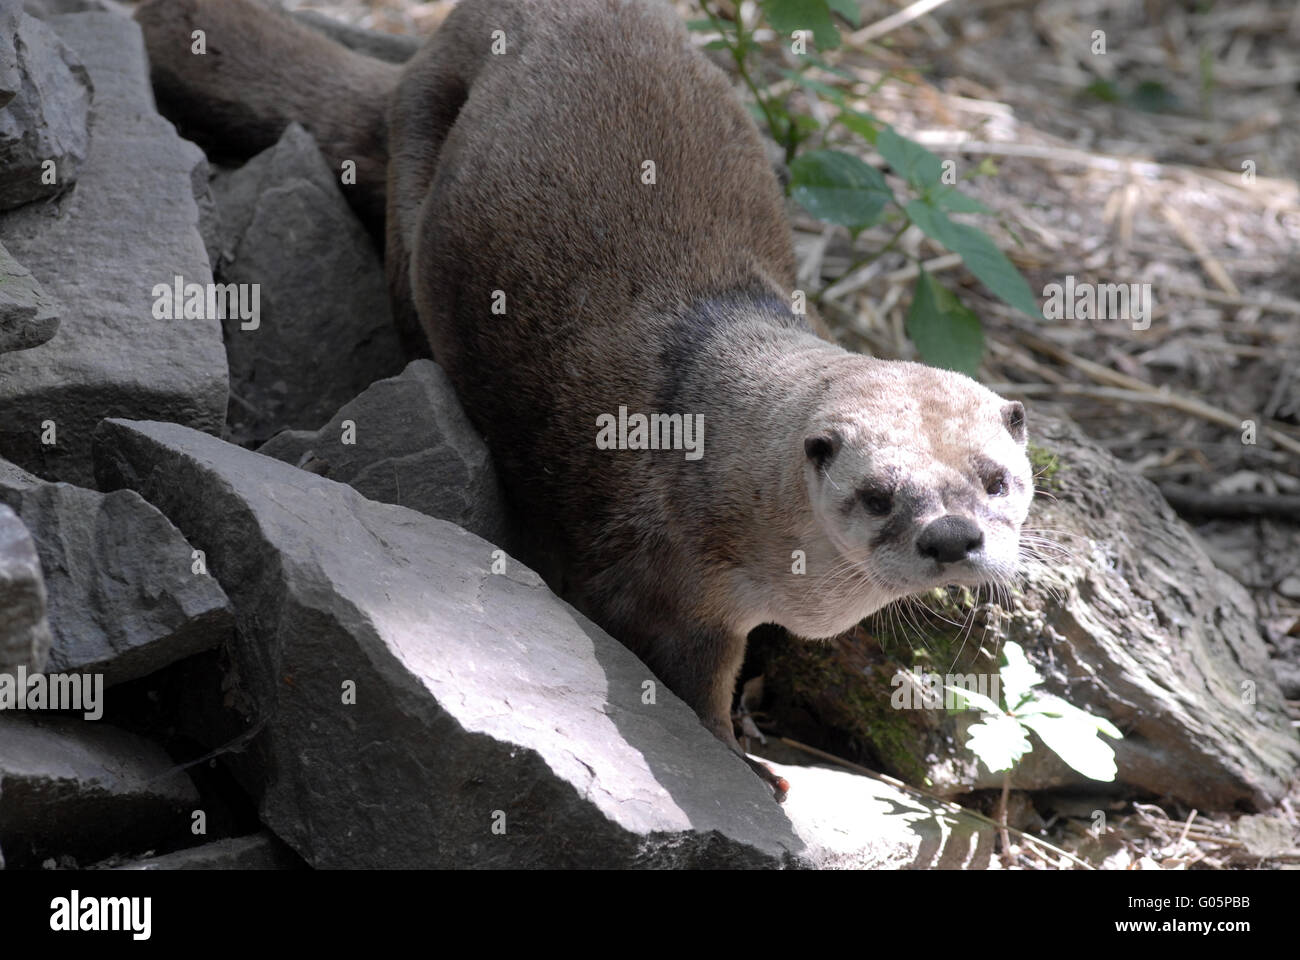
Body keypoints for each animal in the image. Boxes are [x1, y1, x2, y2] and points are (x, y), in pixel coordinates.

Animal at [129, 0, 1024, 801]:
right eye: (876, 494)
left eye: (998, 480)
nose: (952, 537)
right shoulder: (654, 585)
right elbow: (692, 691)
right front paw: (748, 768)